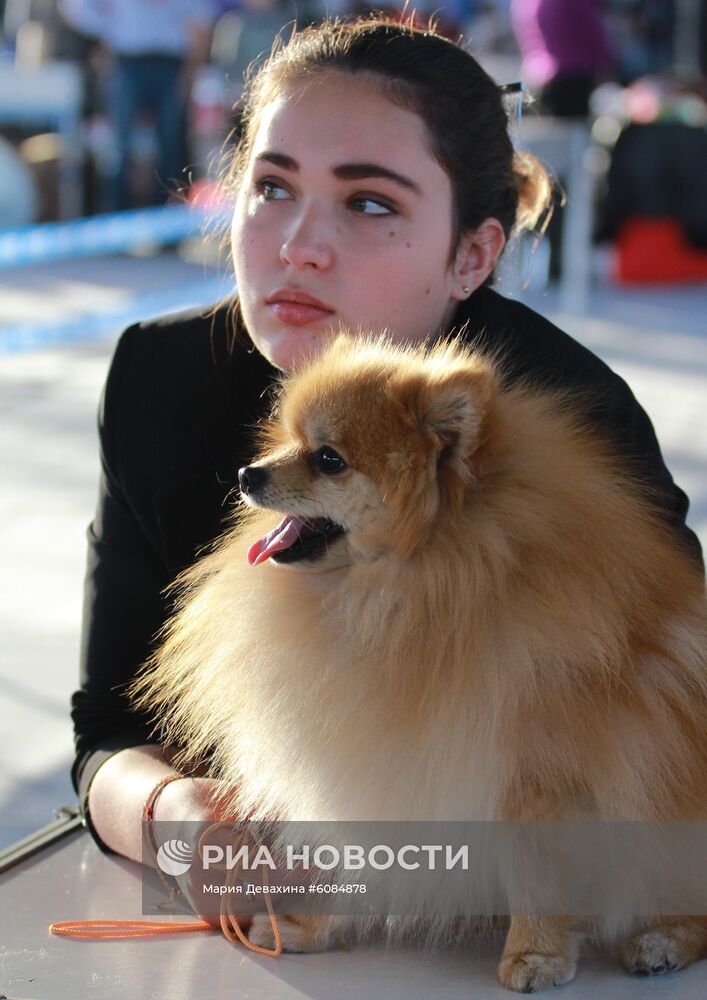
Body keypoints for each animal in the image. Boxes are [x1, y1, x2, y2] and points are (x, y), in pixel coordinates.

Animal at [130, 336, 704, 992]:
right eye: (286, 439)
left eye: (329, 459)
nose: (251, 473)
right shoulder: (375, 764)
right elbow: (352, 858)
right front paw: (313, 927)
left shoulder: (540, 778)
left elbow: (539, 876)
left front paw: (536, 955)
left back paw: (661, 941)